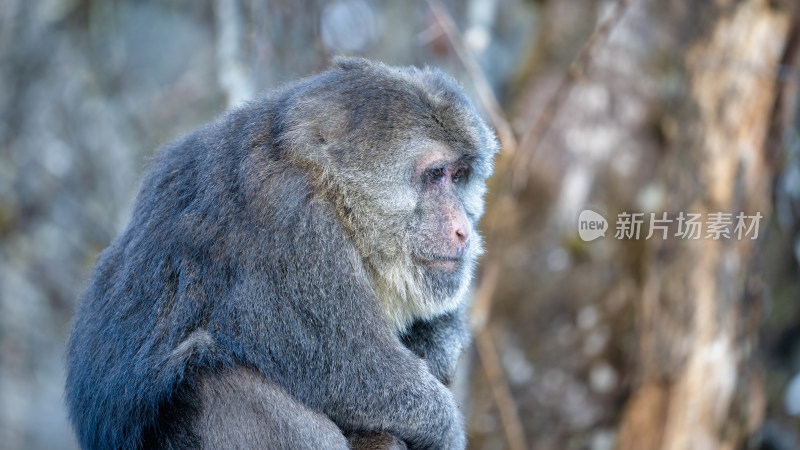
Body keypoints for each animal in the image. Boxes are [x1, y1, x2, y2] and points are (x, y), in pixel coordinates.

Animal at [65, 58, 496, 448]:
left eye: (460, 176)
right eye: (435, 175)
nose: (463, 229)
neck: (329, 189)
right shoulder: (295, 231)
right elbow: (356, 376)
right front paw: (444, 427)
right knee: (213, 381)